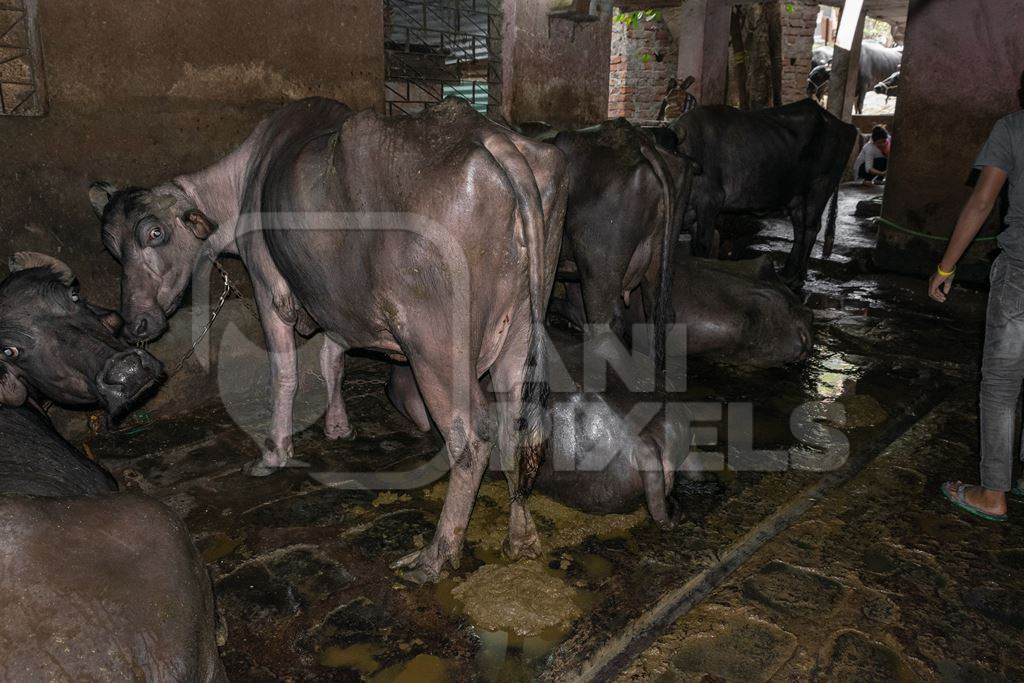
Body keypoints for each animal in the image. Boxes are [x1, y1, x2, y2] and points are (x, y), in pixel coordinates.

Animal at [90, 96, 569, 581]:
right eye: (110, 245)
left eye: (156, 233)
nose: (135, 323)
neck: (245, 178)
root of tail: (489, 135)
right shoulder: (334, 299)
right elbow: (331, 359)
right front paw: (338, 426)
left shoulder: (270, 285)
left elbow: (285, 372)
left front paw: (274, 454)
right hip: (522, 324)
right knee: (515, 422)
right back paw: (521, 537)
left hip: (435, 342)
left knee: (471, 436)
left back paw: (435, 556)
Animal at [667, 98, 860, 286]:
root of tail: (846, 127)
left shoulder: (710, 202)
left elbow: (703, 246)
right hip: (796, 196)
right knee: (800, 228)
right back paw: (789, 273)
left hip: (821, 185)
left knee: (811, 227)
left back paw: (797, 278)